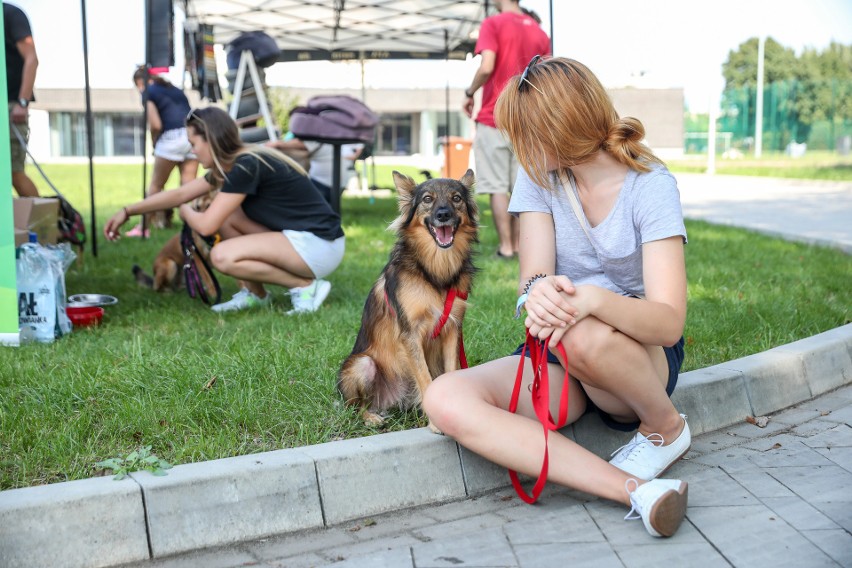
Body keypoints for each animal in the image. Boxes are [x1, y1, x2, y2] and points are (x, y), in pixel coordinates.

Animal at [336, 171, 476, 428]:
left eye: (457, 198)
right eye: (428, 199)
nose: (443, 215)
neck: (433, 272)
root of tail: (388, 400)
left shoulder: (452, 329)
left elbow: (451, 371)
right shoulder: (410, 334)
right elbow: (425, 378)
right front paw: (435, 423)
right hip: (362, 365)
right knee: (356, 407)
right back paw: (371, 417)